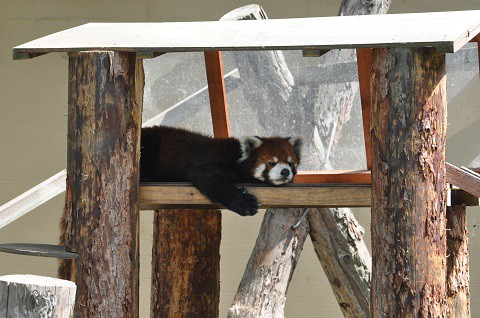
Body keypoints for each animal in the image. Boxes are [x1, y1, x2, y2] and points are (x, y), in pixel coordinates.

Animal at [141, 125, 302, 215]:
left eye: (290, 164)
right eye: (271, 163)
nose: (285, 172)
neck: (238, 157)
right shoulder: (209, 165)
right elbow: (210, 178)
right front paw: (244, 203)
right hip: (151, 142)